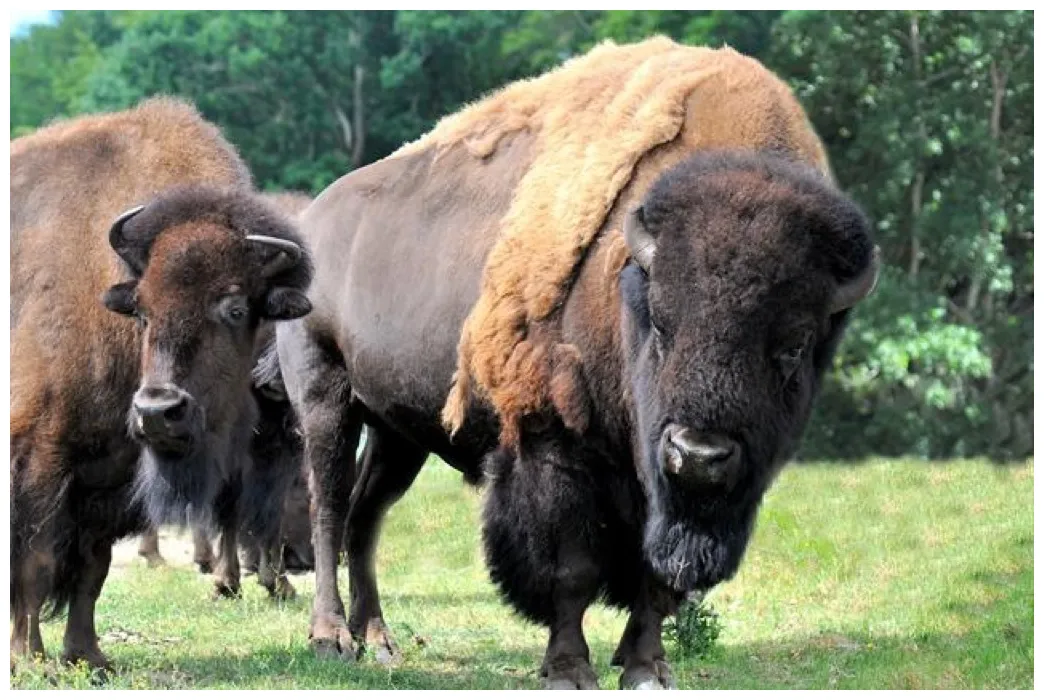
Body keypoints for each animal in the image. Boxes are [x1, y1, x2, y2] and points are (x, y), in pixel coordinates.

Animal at [10, 98, 313, 671]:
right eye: (142, 310)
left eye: (234, 308)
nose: (158, 411)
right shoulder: (38, 458)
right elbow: (33, 562)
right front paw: (29, 657)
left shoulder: (110, 481)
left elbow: (92, 569)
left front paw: (90, 657)